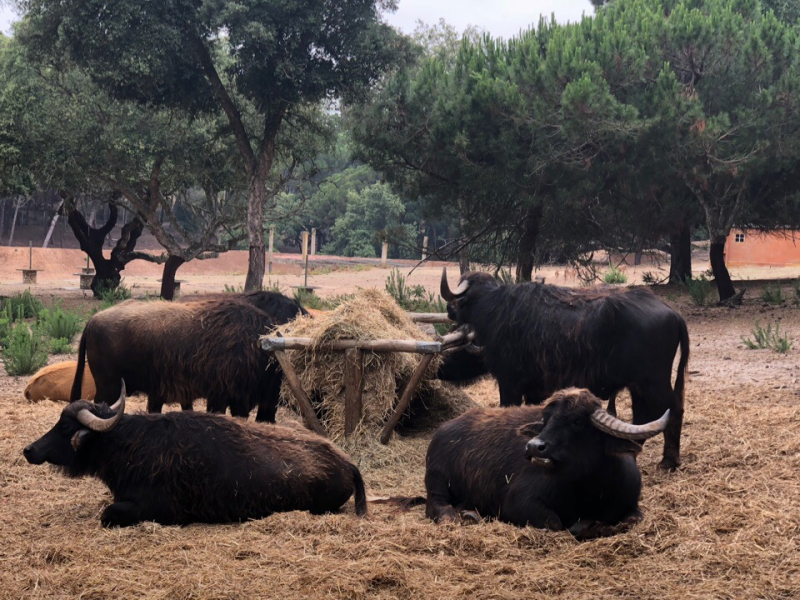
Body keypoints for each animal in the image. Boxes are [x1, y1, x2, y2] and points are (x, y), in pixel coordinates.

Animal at [21, 382, 366, 528]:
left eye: (66, 426)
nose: (29, 450)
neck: (129, 444)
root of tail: (347, 464)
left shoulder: (157, 509)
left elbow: (108, 514)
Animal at [424, 390, 668, 540]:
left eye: (577, 422)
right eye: (546, 419)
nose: (533, 446)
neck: (590, 489)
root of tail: (442, 430)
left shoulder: (630, 504)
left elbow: (631, 521)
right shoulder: (519, 501)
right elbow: (556, 523)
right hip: (437, 481)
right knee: (436, 505)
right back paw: (459, 516)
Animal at [440, 270, 692, 472]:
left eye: (461, 302)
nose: (449, 310)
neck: (495, 310)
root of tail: (673, 313)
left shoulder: (509, 382)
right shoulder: (534, 388)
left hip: (653, 382)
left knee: (674, 410)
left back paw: (668, 461)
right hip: (637, 386)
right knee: (642, 418)